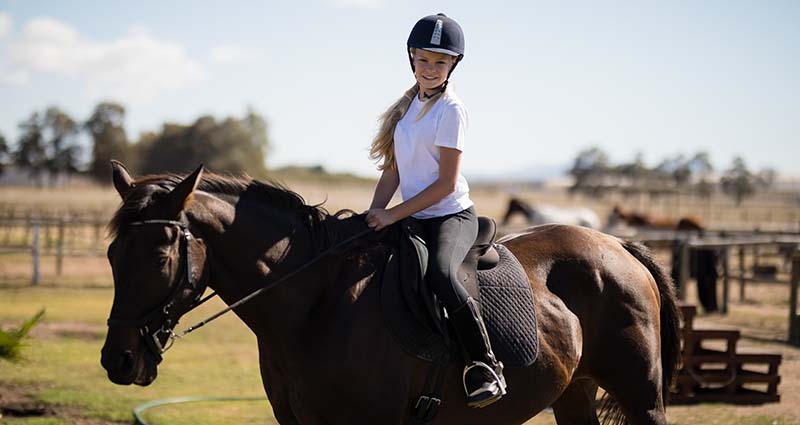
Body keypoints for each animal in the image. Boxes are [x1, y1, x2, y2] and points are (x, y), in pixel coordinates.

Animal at [97, 161, 680, 422]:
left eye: (159, 256)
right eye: (112, 255)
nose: (118, 361)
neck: (318, 305)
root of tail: (618, 244)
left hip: (641, 396)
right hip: (575, 391)